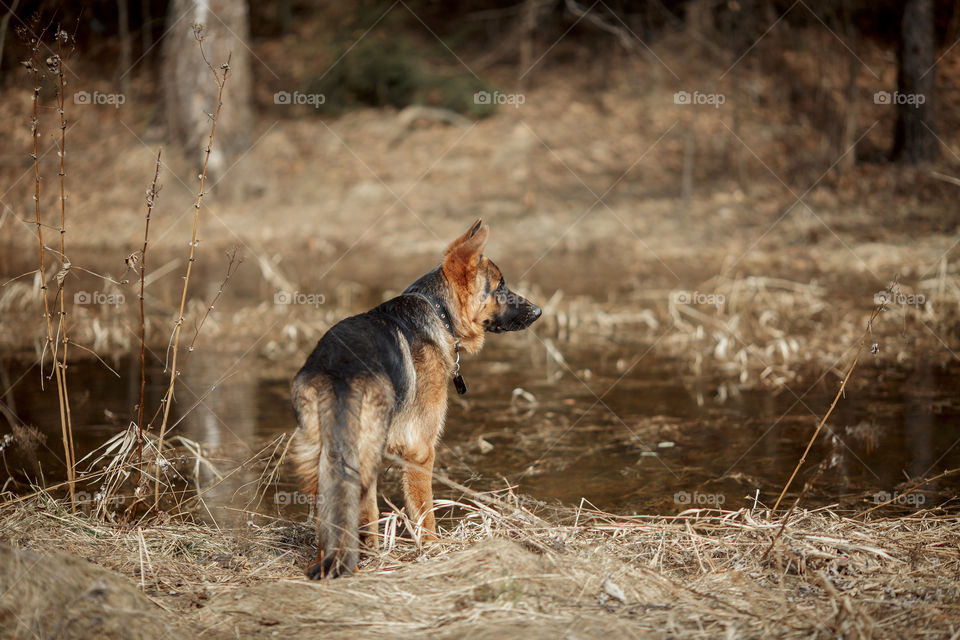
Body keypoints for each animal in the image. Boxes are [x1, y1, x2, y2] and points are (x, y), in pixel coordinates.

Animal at [288, 221, 544, 580]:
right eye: (501, 287)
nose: (539, 311)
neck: (438, 311)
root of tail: (338, 370)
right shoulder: (421, 452)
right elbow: (424, 515)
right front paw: (435, 552)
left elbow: (369, 515)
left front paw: (375, 552)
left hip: (321, 456)